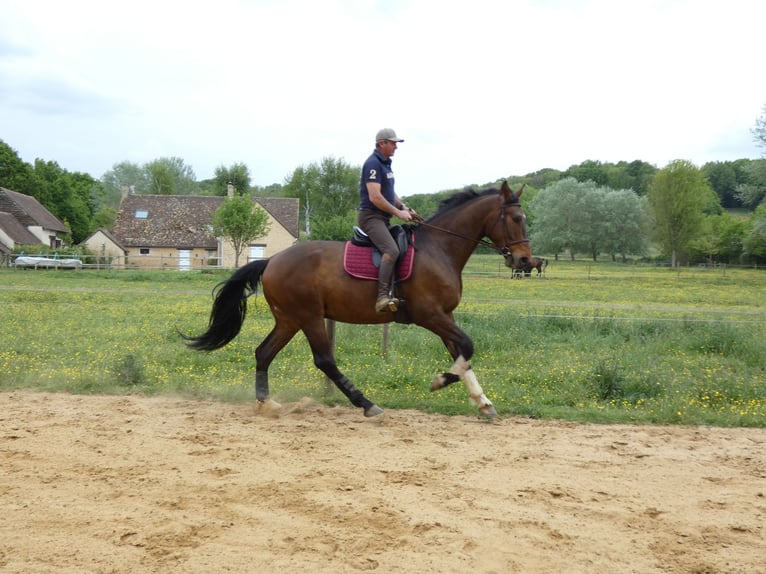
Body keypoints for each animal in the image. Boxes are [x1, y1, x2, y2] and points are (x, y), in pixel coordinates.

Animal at [184, 182, 536, 420]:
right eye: (516, 218)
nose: (524, 260)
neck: (439, 249)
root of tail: (271, 260)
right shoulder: (430, 314)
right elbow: (467, 346)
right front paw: (439, 382)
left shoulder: (445, 316)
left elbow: (462, 352)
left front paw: (483, 402)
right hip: (309, 316)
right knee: (324, 360)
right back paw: (366, 404)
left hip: (289, 319)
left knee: (264, 352)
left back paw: (266, 402)